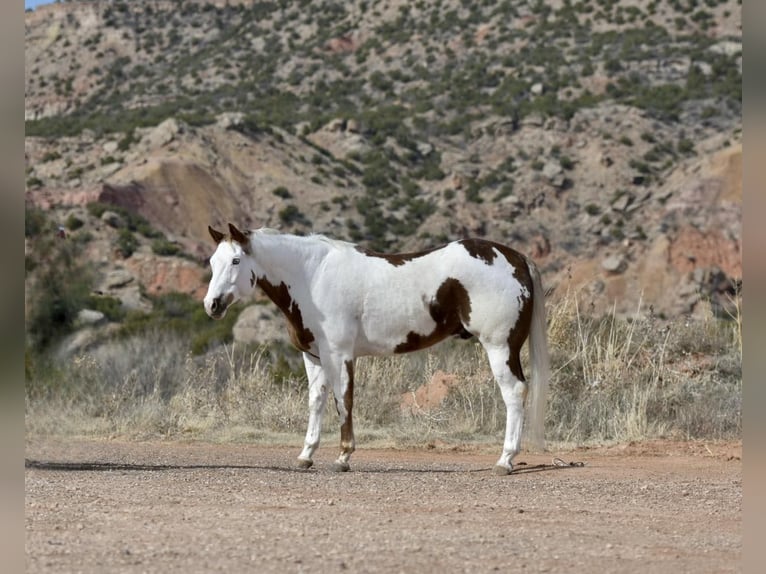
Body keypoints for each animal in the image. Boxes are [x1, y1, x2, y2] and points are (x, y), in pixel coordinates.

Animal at [204, 225, 552, 476]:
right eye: (212, 262)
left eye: (236, 261)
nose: (212, 305)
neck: (312, 276)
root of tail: (517, 259)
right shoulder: (314, 357)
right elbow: (316, 403)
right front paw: (306, 456)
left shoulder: (339, 355)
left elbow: (343, 402)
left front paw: (343, 457)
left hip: (499, 347)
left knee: (514, 394)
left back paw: (505, 461)